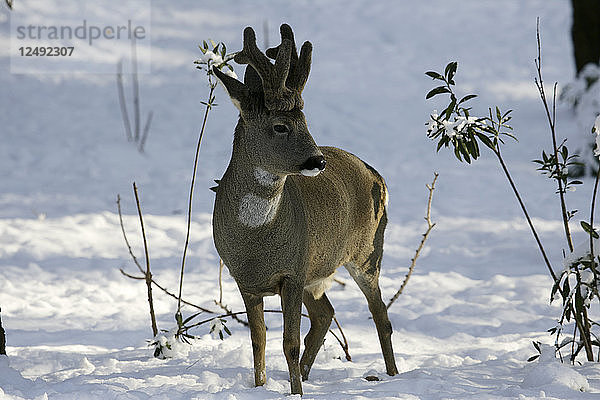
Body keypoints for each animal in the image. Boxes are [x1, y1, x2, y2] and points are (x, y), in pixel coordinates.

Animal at [211, 25, 398, 396]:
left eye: (305, 120)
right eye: (280, 126)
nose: (318, 161)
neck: (255, 241)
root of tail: (375, 173)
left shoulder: (293, 271)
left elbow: (289, 343)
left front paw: (295, 392)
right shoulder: (247, 280)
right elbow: (259, 341)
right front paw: (261, 386)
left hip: (368, 251)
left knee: (381, 316)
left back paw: (394, 375)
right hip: (319, 269)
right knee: (326, 314)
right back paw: (309, 374)